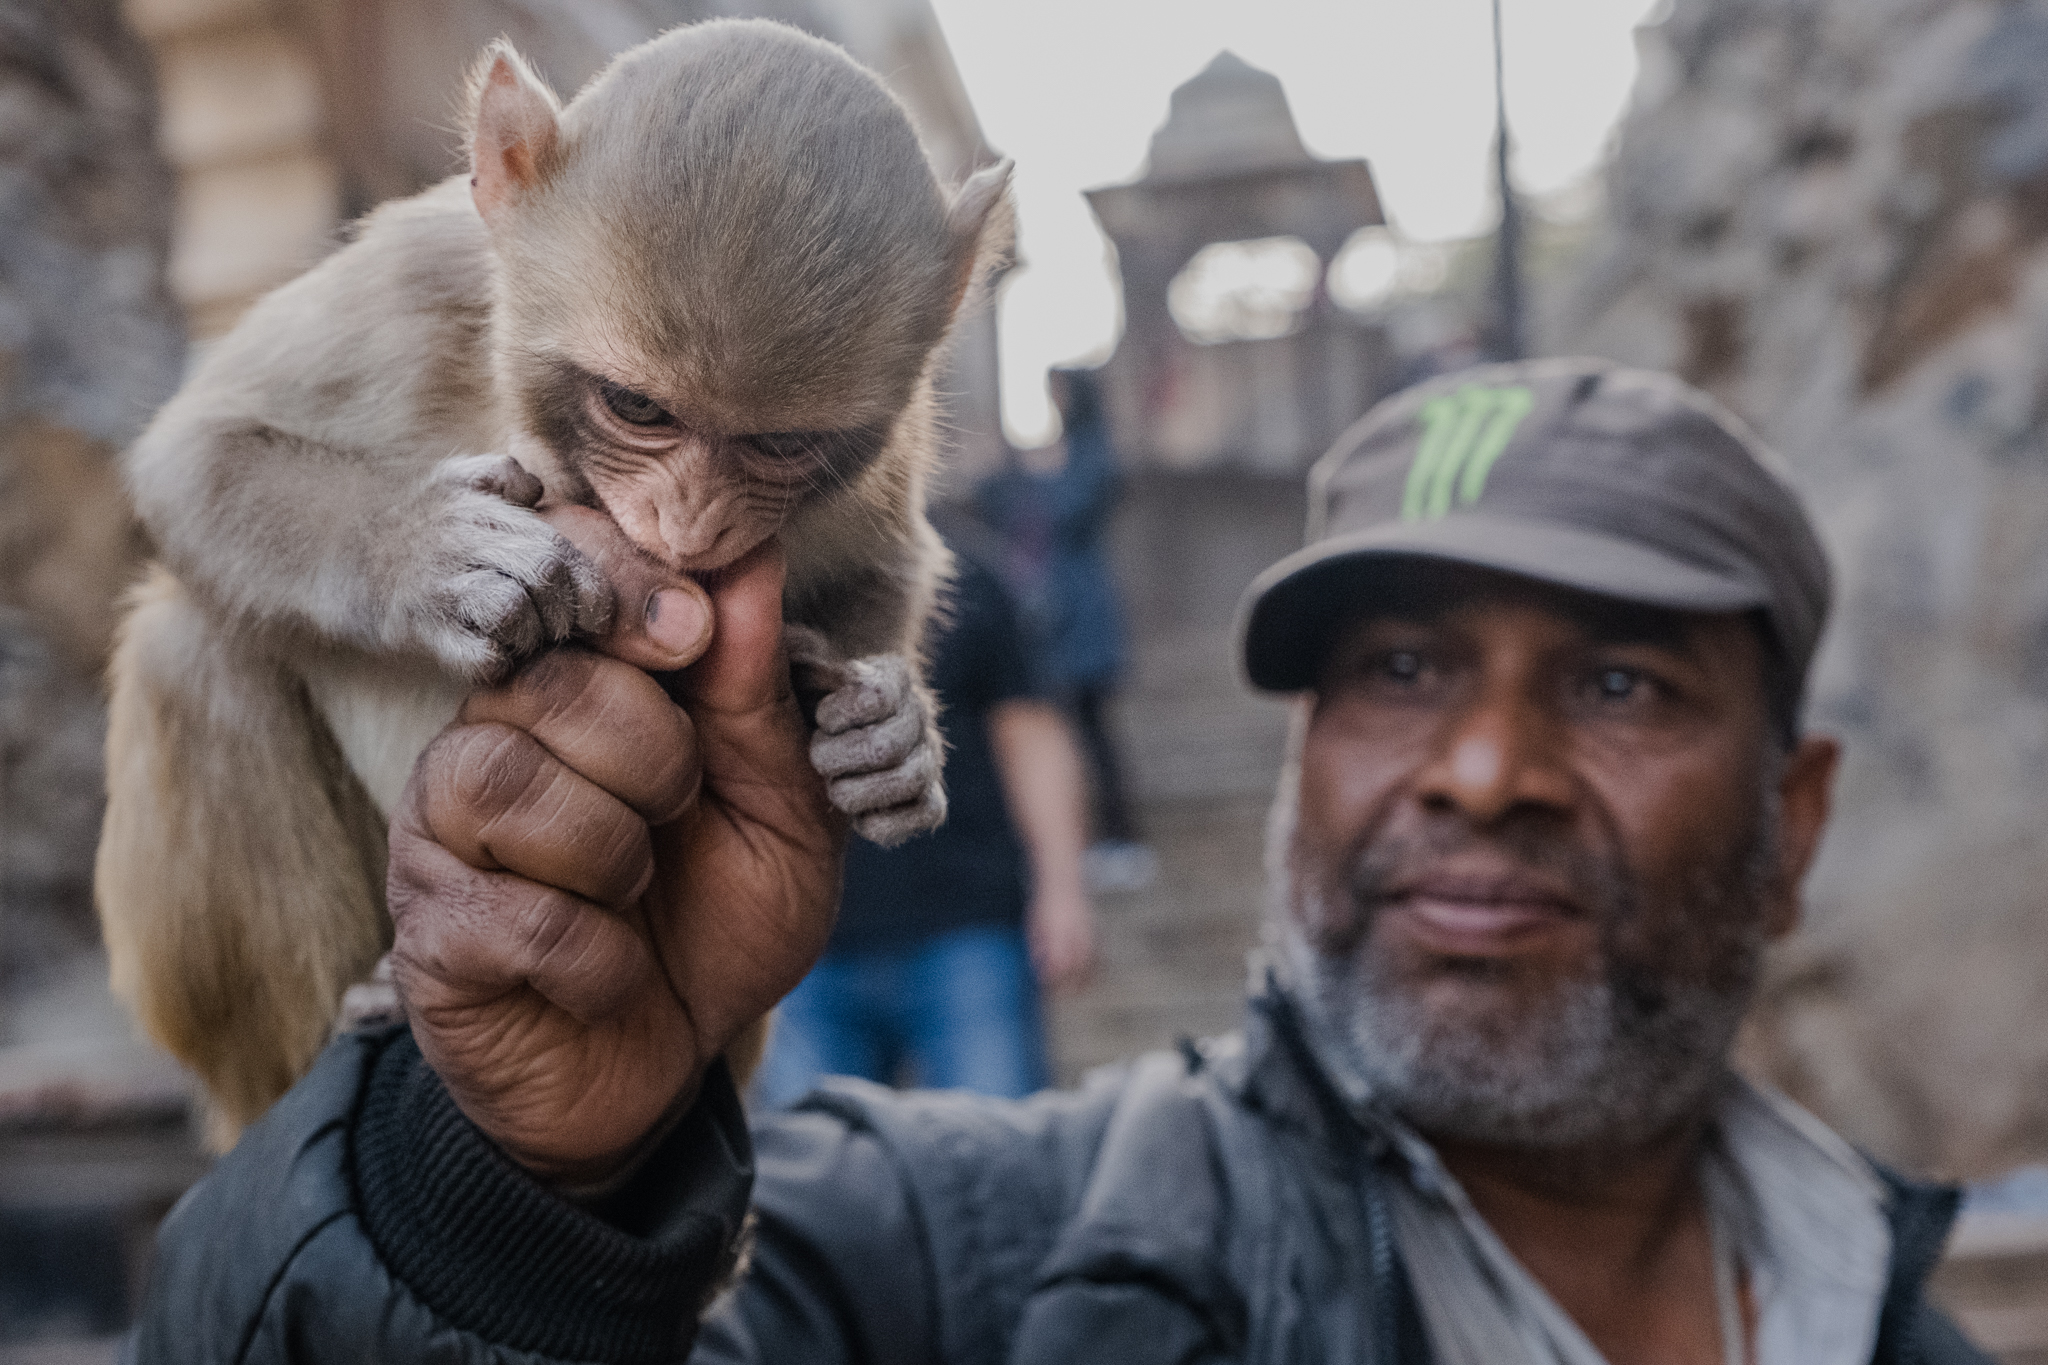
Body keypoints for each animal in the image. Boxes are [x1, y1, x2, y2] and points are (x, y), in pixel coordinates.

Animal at [96, 15, 1007, 1137]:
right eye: (638, 406)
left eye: (780, 444)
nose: (687, 524)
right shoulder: (424, 275)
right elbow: (197, 454)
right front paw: (431, 552)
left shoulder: (879, 442)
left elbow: (885, 567)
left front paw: (887, 736)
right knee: (191, 650)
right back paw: (354, 1017)